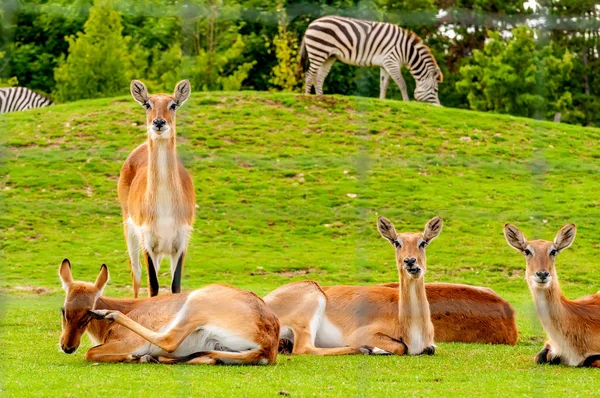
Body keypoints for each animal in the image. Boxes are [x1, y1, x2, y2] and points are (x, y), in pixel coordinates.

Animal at [58, 260, 278, 366]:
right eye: (63, 310)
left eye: (87, 313)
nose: (67, 347)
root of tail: (269, 343)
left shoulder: (126, 342)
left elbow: (90, 353)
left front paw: (134, 357)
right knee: (209, 358)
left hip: (196, 302)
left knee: (169, 340)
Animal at [119, 79, 197, 296]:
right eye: (148, 104)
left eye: (173, 104)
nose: (159, 122)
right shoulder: (148, 241)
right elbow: (153, 285)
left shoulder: (180, 242)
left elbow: (175, 286)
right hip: (130, 230)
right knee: (136, 274)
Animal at [264, 216, 438, 356]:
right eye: (397, 242)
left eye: (423, 242)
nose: (410, 261)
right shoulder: (362, 334)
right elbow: (400, 347)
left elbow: (430, 348)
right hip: (312, 301)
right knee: (304, 348)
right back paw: (369, 349)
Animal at [298, 16, 440, 105]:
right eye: (436, 90)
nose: (439, 107)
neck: (406, 51)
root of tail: (310, 24)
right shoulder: (391, 61)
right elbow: (402, 84)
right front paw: (407, 102)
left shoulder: (385, 65)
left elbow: (383, 85)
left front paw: (382, 101)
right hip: (318, 52)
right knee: (310, 74)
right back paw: (308, 97)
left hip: (329, 56)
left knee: (319, 77)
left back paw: (320, 97)